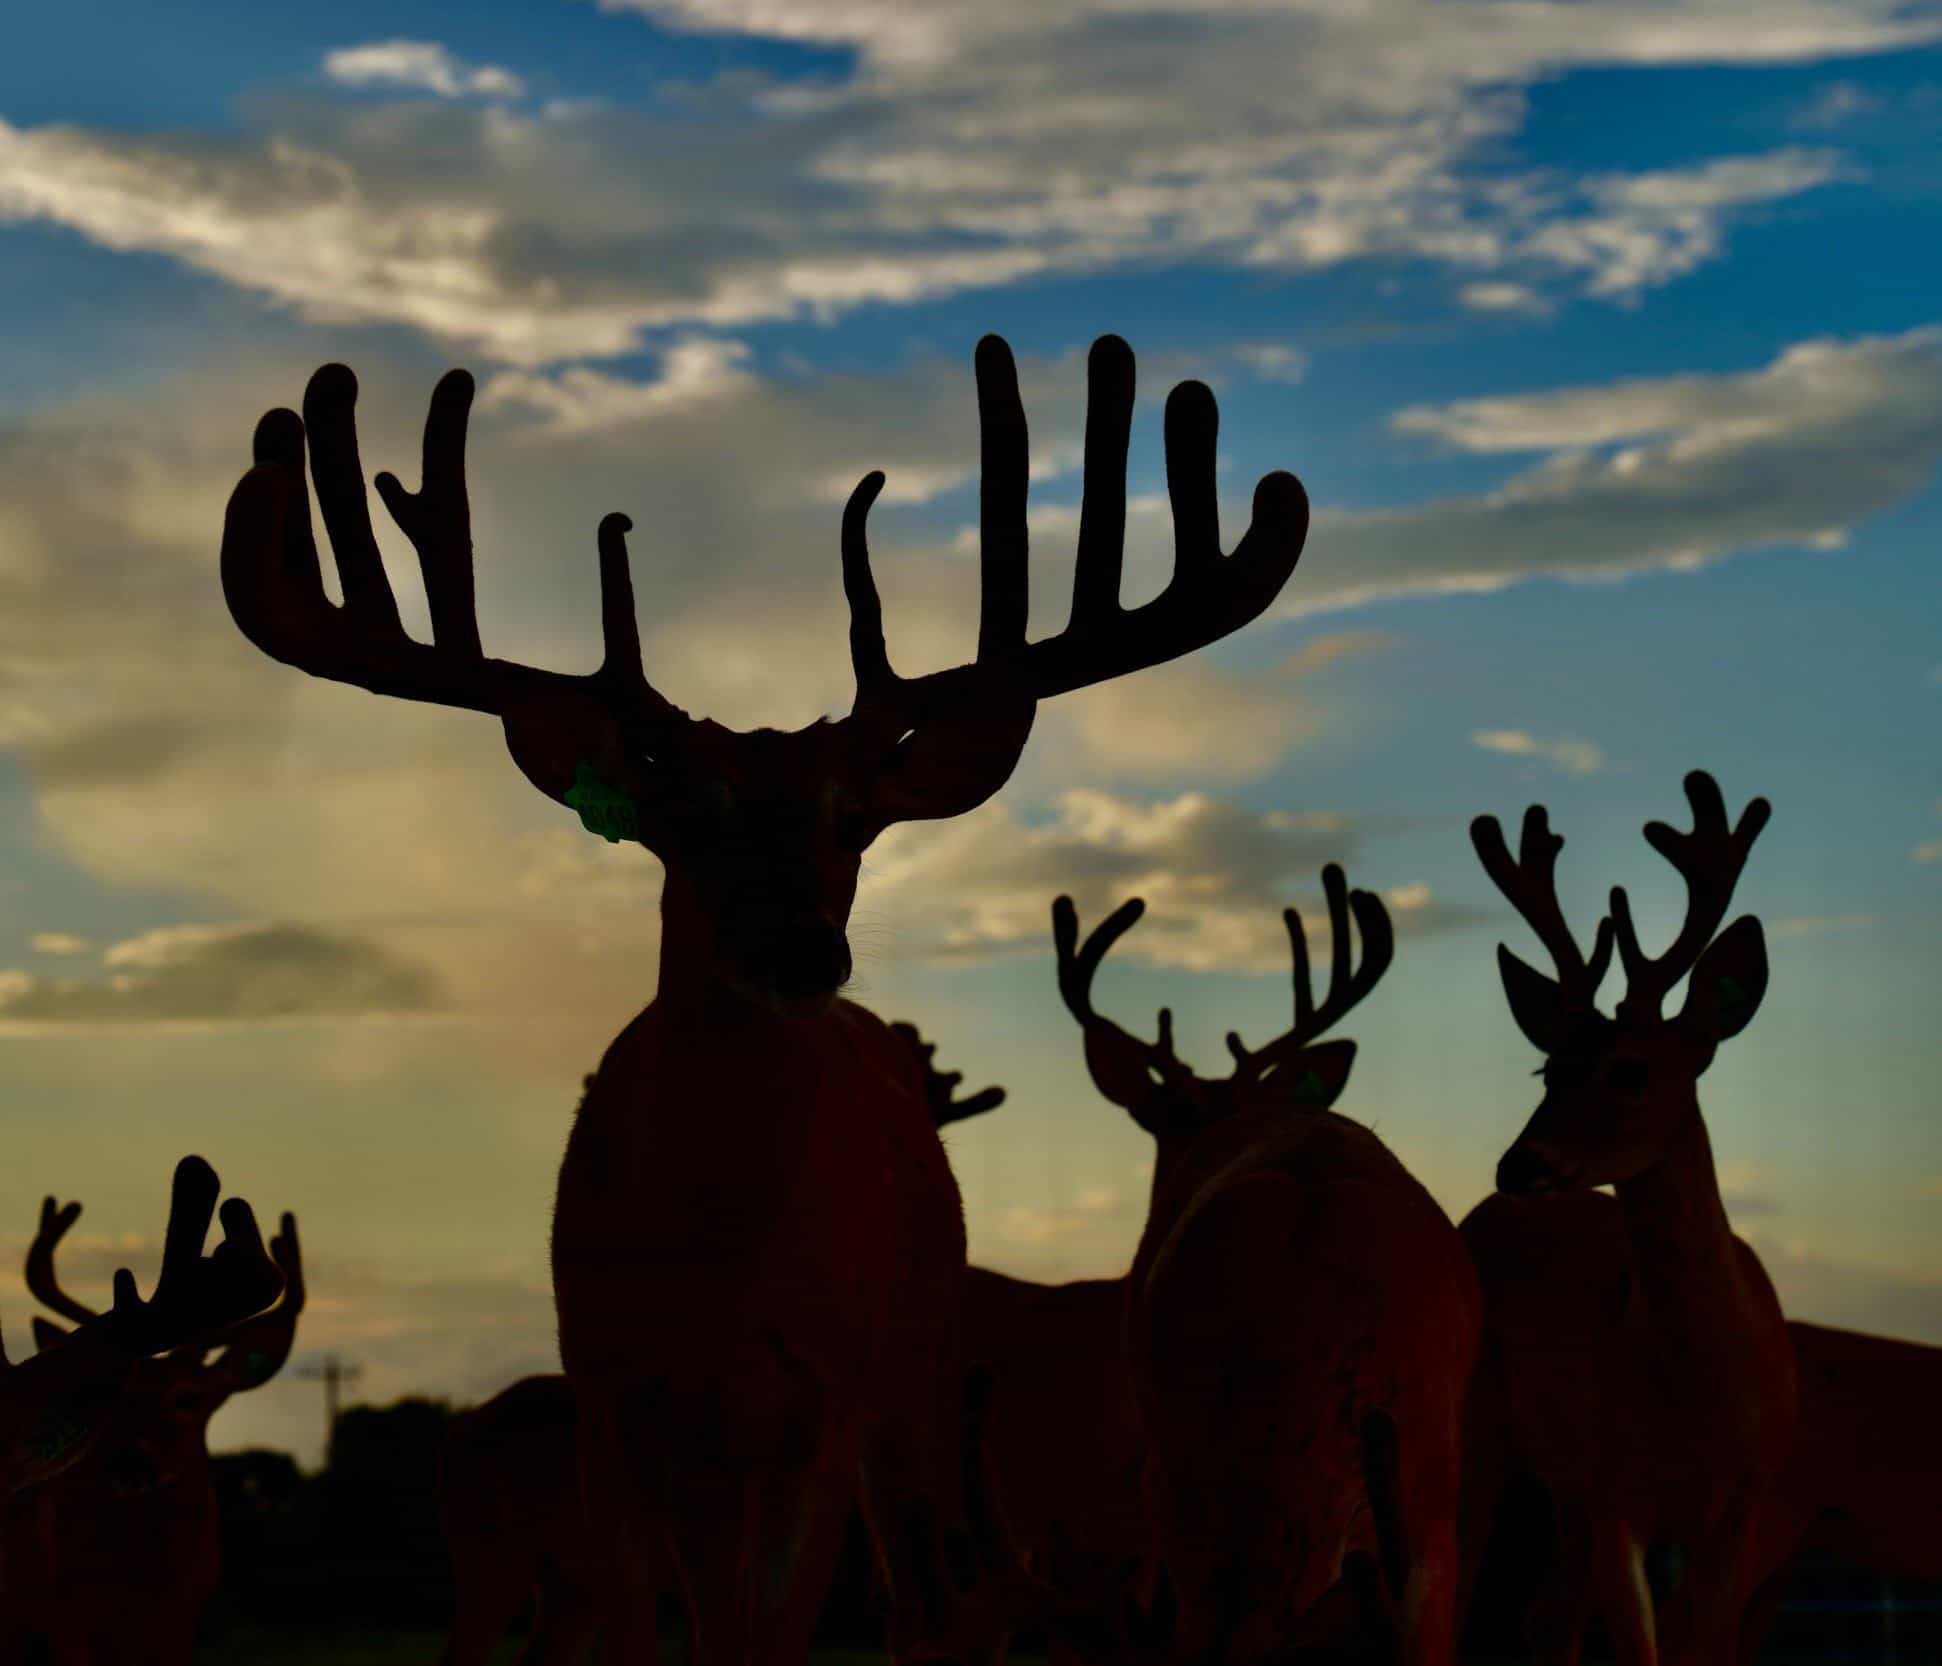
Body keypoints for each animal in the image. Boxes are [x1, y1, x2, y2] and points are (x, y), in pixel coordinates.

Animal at [217, 331, 1312, 1666]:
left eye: (857, 819)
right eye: (679, 817)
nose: (803, 951)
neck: (716, 1271)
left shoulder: (819, 1399)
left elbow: (783, 1624)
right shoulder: (614, 1399)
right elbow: (645, 1627)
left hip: (913, 1382)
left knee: (922, 1597)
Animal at [1459, 770, 1794, 1666]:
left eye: (1633, 1070)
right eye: (1547, 1067)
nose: (1519, 1165)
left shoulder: (1745, 1507)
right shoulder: (1616, 1494)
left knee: (1544, 1621)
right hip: (1483, 1429)